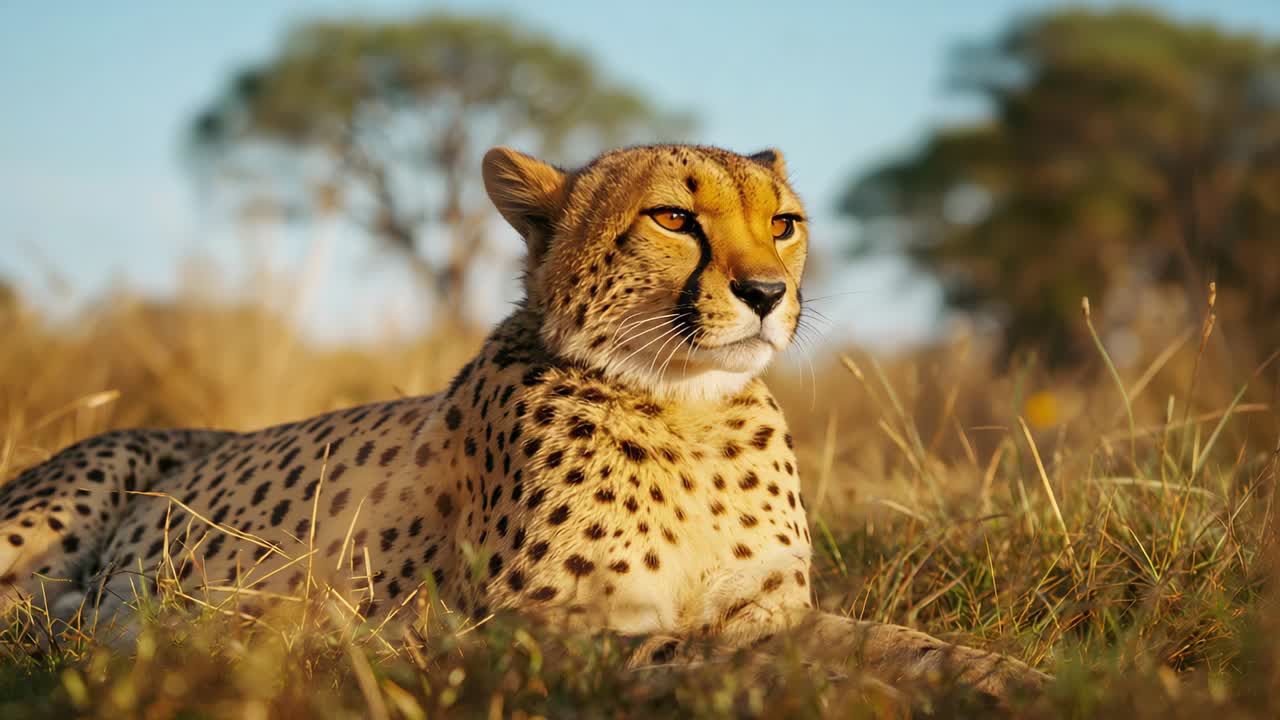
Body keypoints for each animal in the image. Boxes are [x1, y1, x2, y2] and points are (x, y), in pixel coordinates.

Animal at [0, 144, 1049, 700]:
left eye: (784, 223)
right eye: (674, 219)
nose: (766, 293)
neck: (688, 411)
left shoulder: (768, 608)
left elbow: (897, 641)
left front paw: (1014, 676)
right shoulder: (524, 632)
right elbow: (706, 658)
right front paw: (850, 696)